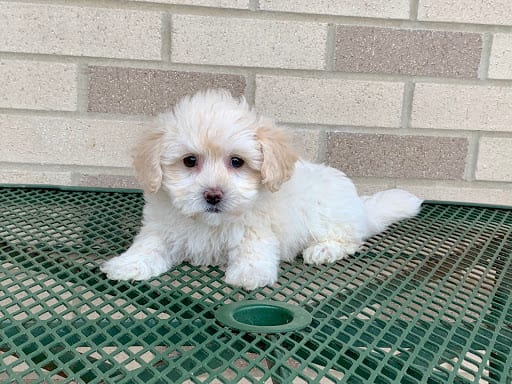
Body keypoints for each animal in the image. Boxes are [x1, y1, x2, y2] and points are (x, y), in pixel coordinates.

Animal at [101, 89, 424, 288]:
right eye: (189, 161)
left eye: (237, 161)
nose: (213, 195)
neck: (209, 223)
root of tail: (360, 208)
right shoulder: (161, 226)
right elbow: (149, 244)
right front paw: (128, 264)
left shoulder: (256, 228)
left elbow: (254, 248)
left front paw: (250, 273)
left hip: (326, 213)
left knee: (350, 239)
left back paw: (323, 249)